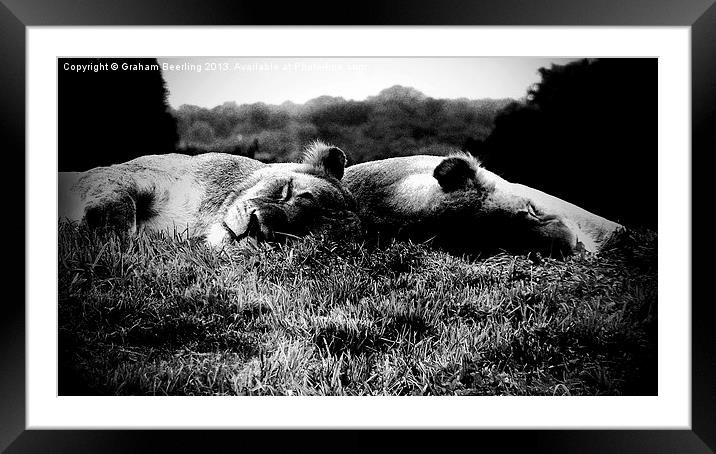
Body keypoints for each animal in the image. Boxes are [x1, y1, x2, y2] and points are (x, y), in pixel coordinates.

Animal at [57, 143, 358, 247]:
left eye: (296, 234)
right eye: (286, 190)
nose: (257, 226)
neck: (204, 222)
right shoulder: (128, 173)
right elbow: (120, 203)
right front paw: (110, 234)